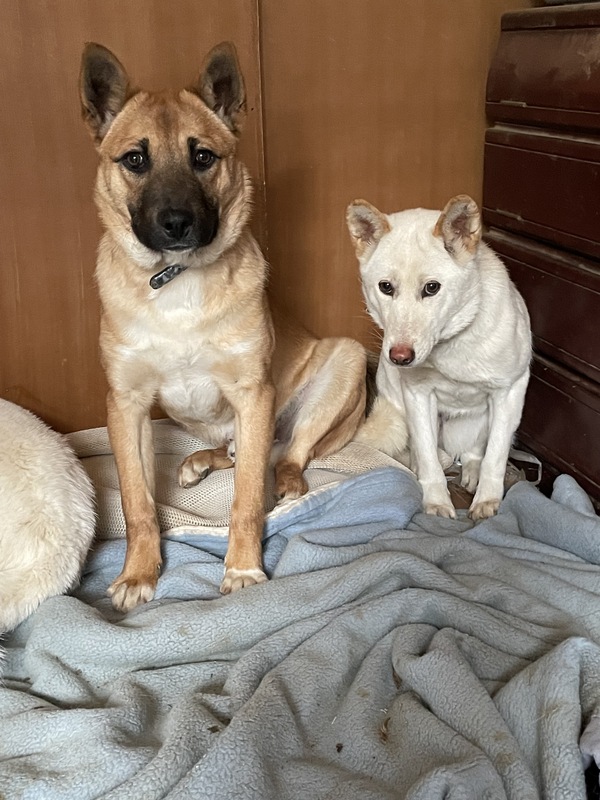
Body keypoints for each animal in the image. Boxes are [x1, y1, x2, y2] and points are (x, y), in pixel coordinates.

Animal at [79, 42, 367, 611]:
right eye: (135, 159)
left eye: (203, 157)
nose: (177, 223)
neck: (178, 279)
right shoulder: (126, 405)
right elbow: (137, 502)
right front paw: (138, 572)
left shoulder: (253, 393)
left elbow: (246, 502)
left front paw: (244, 568)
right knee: (240, 451)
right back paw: (203, 460)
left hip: (344, 362)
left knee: (286, 454)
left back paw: (285, 482)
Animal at [347, 195, 531, 521]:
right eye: (385, 287)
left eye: (431, 288)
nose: (400, 357)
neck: (450, 342)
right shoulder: (418, 396)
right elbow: (428, 457)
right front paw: (435, 502)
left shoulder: (509, 391)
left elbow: (495, 456)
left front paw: (487, 500)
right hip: (401, 411)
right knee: (425, 452)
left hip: (485, 419)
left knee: (475, 451)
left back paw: (471, 471)